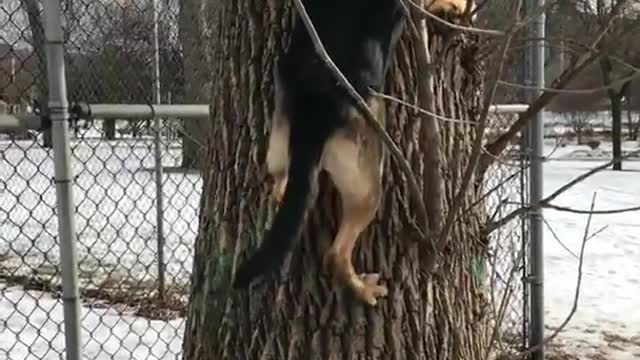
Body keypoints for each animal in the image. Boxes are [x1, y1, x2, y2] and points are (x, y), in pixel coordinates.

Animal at [235, 0, 476, 306]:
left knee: (279, 180)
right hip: (367, 181)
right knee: (336, 255)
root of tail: (313, 117)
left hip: (279, 139)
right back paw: (363, 289)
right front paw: (456, 7)